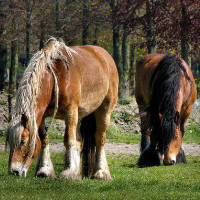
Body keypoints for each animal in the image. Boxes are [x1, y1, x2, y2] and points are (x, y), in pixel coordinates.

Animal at [4, 38, 119, 179]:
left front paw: (68, 172)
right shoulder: (42, 116)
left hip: (104, 111)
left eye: (23, 141)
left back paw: (101, 172)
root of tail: (106, 56)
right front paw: (45, 169)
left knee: (100, 139)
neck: (56, 77)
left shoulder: (70, 111)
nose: (13, 171)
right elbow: (44, 138)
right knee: (79, 140)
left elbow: (69, 140)